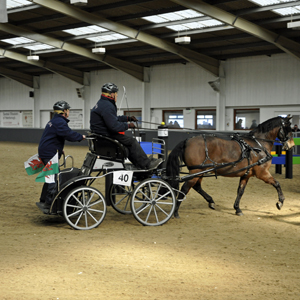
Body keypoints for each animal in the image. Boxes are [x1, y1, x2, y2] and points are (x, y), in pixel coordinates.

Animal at [166, 115, 296, 218]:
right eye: (288, 127)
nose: (292, 145)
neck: (258, 145)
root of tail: (187, 141)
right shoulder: (262, 173)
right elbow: (277, 184)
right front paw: (280, 202)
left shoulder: (246, 175)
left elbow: (240, 191)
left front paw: (237, 209)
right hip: (196, 171)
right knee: (185, 188)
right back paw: (175, 212)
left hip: (200, 171)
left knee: (196, 186)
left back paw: (211, 201)